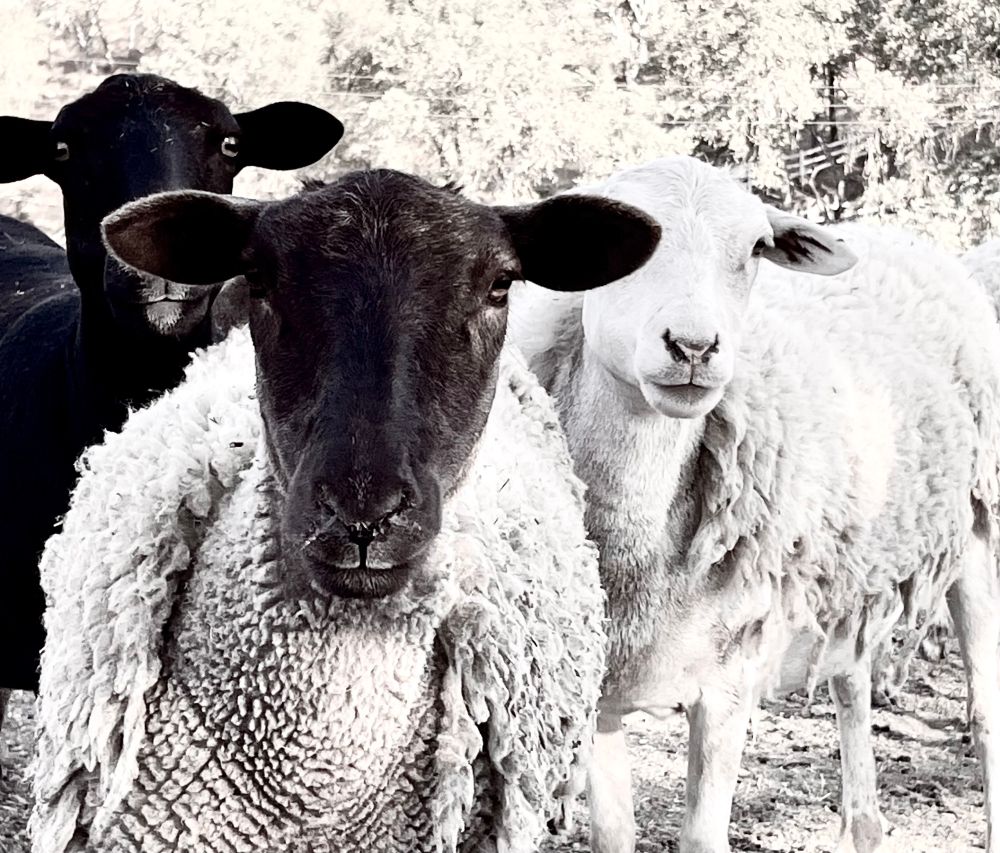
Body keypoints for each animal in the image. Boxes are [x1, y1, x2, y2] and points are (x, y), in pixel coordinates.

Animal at [508, 155, 1000, 853]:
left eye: (755, 249)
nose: (693, 347)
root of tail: (906, 241)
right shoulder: (601, 690)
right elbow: (613, 835)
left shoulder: (728, 681)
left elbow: (701, 837)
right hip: (853, 569)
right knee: (852, 683)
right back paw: (863, 822)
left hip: (978, 529)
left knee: (986, 717)